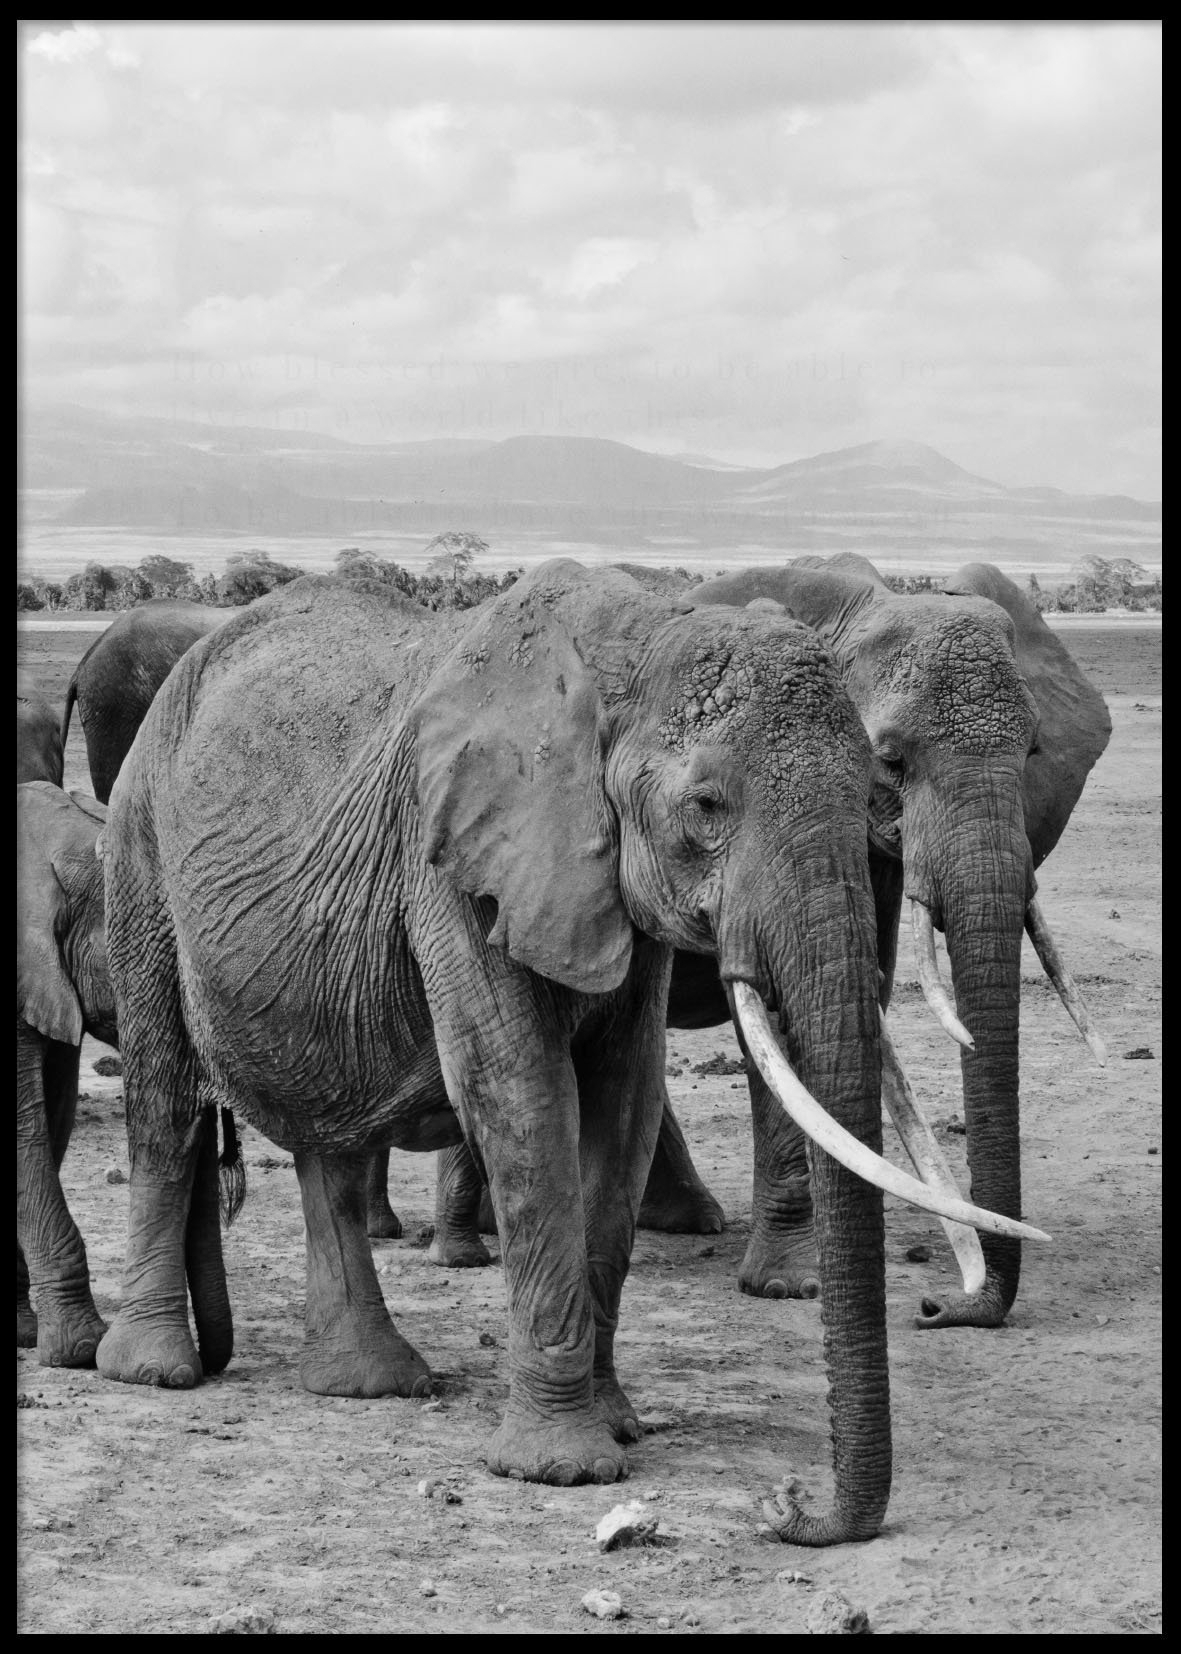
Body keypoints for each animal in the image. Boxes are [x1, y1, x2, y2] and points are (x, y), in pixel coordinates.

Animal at [94, 560, 1031, 1544]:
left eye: (871, 786)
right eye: (706, 807)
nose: (789, 1507)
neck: (630, 645)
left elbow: (622, 1104)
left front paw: (616, 1424)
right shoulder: (452, 859)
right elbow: (522, 1094)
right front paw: (561, 1468)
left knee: (330, 1142)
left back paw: (364, 1383)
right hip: (139, 847)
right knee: (164, 1098)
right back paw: (154, 1369)